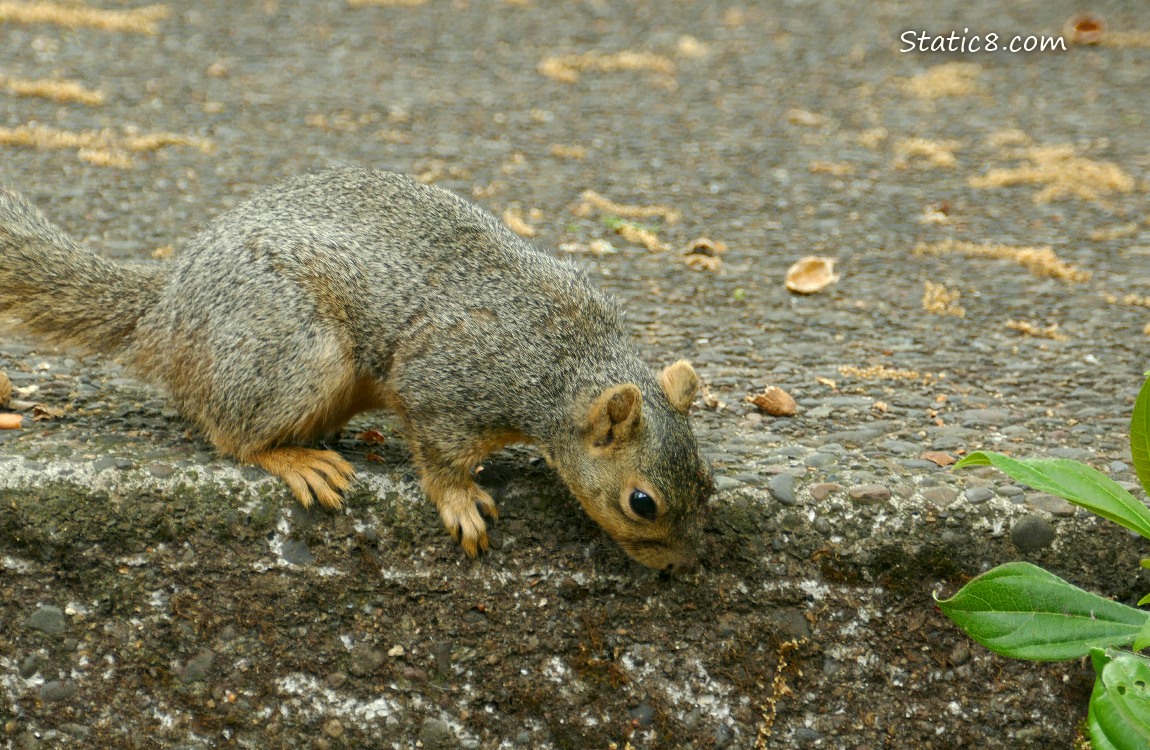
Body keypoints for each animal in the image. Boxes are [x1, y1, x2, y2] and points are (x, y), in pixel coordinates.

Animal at [0, 167, 713, 571]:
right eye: (641, 503)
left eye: (708, 482)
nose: (682, 568)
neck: (568, 360)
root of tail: (170, 309)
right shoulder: (448, 379)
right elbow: (440, 454)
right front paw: (460, 502)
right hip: (295, 352)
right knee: (232, 433)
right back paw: (296, 460)